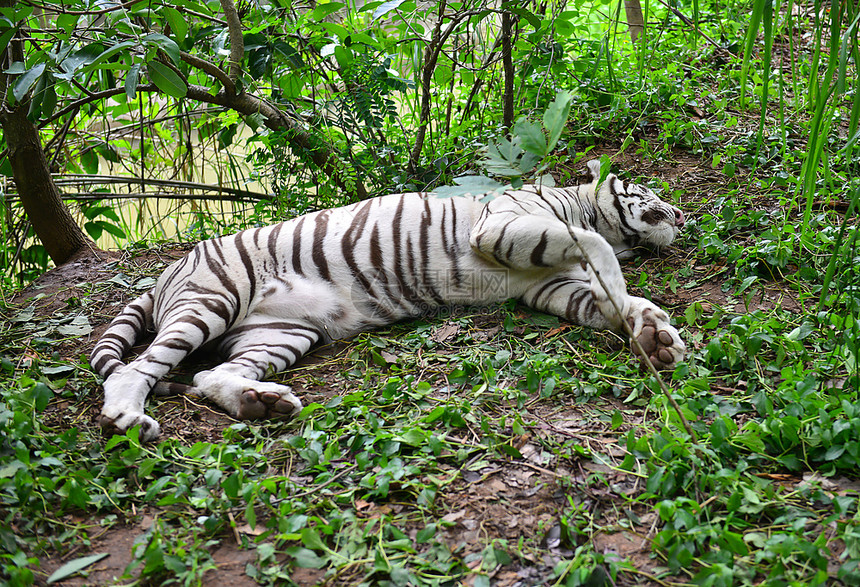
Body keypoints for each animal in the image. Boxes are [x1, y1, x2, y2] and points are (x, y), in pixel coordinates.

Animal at [92, 161, 684, 440]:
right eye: (648, 192)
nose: (681, 215)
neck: (578, 203)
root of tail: (167, 272)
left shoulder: (548, 283)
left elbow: (608, 301)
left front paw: (655, 334)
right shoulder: (502, 228)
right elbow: (597, 248)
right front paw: (624, 289)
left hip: (280, 333)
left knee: (208, 375)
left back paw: (263, 402)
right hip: (211, 301)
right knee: (137, 370)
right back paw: (127, 421)